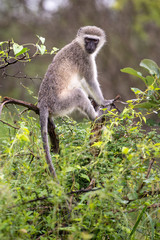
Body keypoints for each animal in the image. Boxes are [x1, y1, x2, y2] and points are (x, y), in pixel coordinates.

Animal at [37, 26, 110, 179]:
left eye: (95, 40)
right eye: (88, 39)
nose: (90, 46)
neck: (79, 45)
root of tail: (43, 102)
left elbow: (83, 81)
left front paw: (94, 99)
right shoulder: (85, 59)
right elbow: (90, 81)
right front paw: (103, 101)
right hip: (59, 104)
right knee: (78, 94)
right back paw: (95, 117)